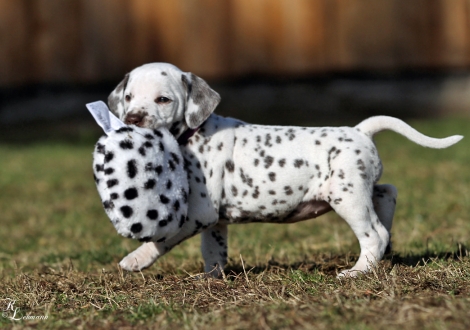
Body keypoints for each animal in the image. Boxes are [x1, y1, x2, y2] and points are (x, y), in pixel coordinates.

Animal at [107, 63, 462, 278]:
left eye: (163, 100)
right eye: (129, 97)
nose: (133, 118)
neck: (191, 135)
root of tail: (360, 130)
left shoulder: (198, 212)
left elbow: (163, 237)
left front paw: (135, 259)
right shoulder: (213, 219)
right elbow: (214, 250)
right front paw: (210, 278)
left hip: (347, 198)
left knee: (374, 234)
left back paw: (357, 272)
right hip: (360, 187)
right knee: (387, 195)